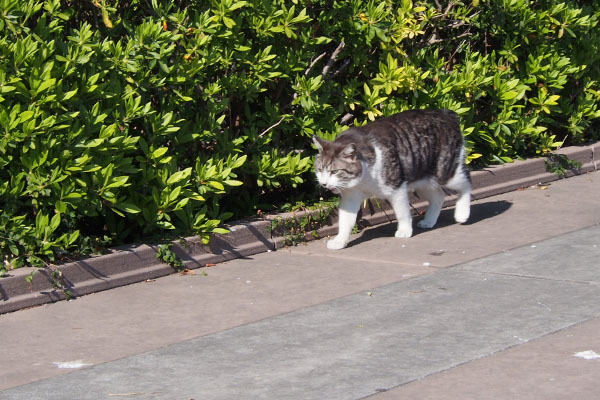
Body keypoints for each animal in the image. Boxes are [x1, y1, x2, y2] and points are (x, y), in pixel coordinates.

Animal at [312, 108, 472, 248]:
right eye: (319, 170)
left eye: (334, 171)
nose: (324, 183)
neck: (363, 179)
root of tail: (446, 112)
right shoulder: (350, 196)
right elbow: (345, 220)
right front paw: (340, 241)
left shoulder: (396, 186)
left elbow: (401, 212)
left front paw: (405, 230)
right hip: (423, 179)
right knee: (438, 195)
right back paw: (429, 221)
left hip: (446, 172)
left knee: (467, 183)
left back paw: (462, 214)